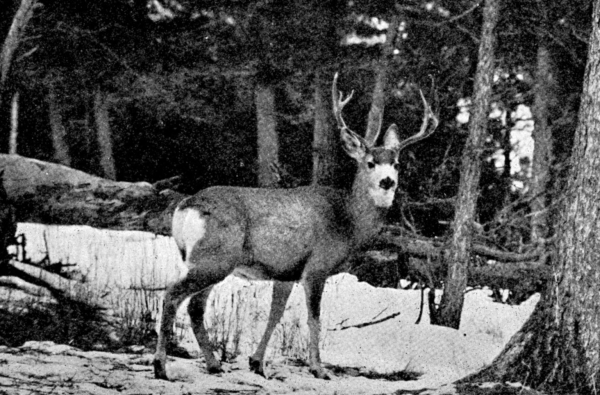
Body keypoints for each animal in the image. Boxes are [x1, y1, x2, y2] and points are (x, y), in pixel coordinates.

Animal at [152, 73, 438, 380]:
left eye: (396, 164)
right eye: (371, 163)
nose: (387, 182)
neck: (349, 221)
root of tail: (185, 207)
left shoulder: (286, 272)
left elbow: (275, 314)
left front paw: (257, 362)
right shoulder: (316, 266)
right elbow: (314, 318)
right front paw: (319, 369)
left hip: (211, 261)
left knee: (195, 306)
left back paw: (213, 364)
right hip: (214, 258)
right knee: (172, 295)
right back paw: (161, 367)